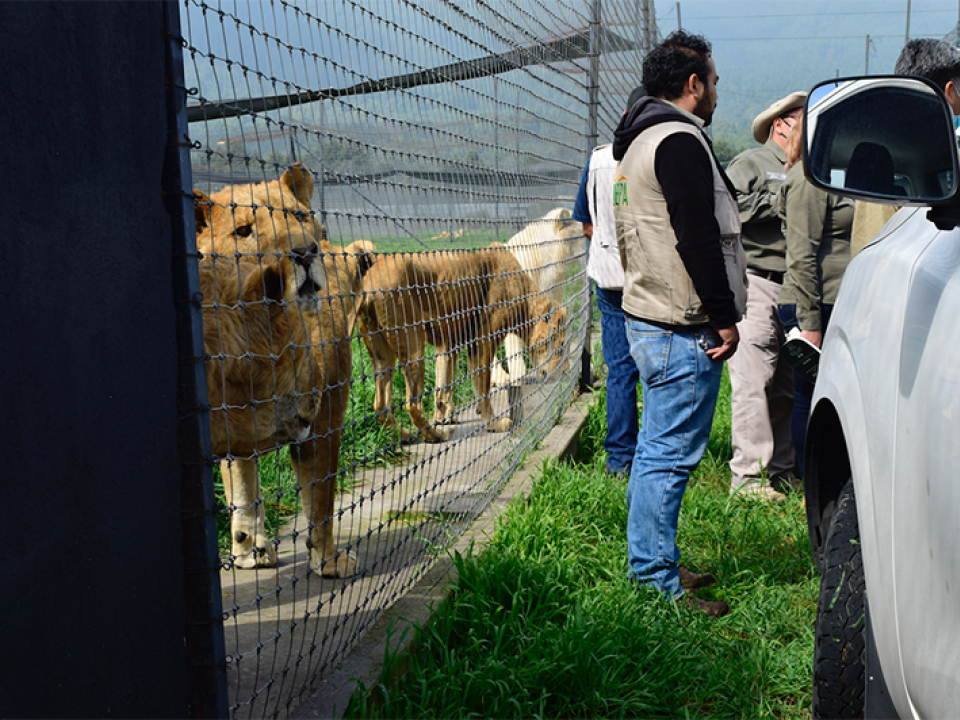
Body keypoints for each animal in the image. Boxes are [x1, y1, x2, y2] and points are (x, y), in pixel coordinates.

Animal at [195, 165, 376, 580]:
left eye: (298, 216)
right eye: (244, 230)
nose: (304, 252)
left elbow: (246, 491)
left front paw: (250, 549)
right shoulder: (326, 415)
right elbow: (321, 498)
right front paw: (328, 560)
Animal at [356, 243, 568, 444]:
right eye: (561, 346)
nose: (564, 372)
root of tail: (368, 284)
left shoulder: (448, 345)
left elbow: (444, 387)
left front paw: (445, 416)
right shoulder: (483, 341)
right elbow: (482, 386)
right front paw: (493, 423)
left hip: (382, 355)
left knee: (381, 405)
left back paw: (405, 436)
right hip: (413, 345)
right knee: (412, 404)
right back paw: (434, 436)